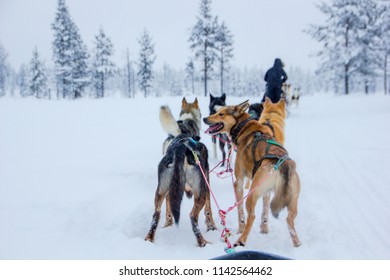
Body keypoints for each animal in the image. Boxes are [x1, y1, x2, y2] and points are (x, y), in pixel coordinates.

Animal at [204, 100, 302, 247]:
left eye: (221, 114)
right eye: (216, 112)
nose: (204, 118)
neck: (243, 126)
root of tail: (282, 163)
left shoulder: (238, 181)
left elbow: (240, 213)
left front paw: (240, 229)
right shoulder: (267, 192)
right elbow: (265, 213)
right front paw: (264, 230)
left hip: (251, 195)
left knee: (252, 215)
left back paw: (241, 240)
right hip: (291, 201)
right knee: (289, 220)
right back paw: (297, 243)